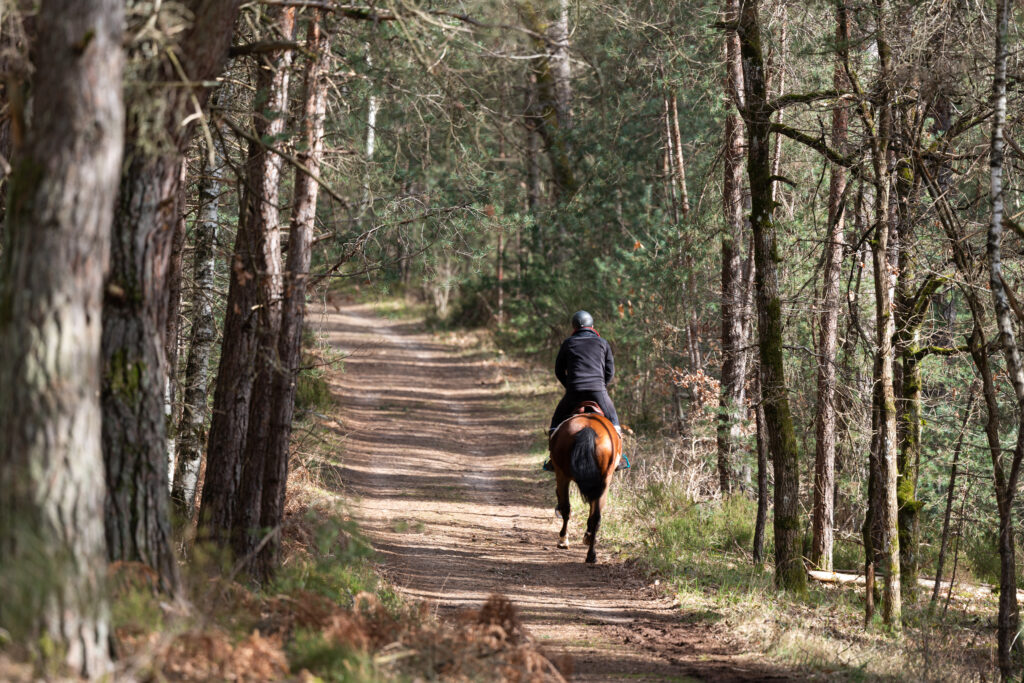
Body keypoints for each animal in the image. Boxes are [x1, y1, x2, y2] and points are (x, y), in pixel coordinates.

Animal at [548, 403, 618, 565]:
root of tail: (588, 429)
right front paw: (587, 536)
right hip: (605, 479)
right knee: (596, 516)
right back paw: (591, 554)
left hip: (562, 475)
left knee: (567, 508)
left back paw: (564, 540)